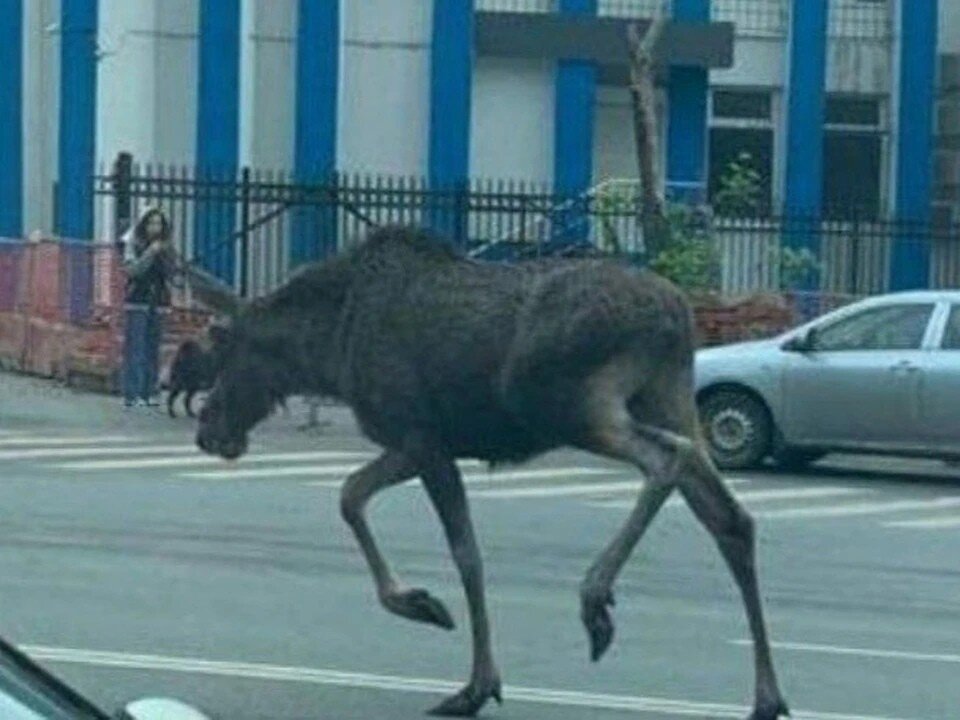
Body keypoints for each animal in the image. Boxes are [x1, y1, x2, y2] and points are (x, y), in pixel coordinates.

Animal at [193, 228, 788, 720]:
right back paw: (767, 696)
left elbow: (465, 555)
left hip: (572, 406)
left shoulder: (423, 439)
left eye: (227, 346)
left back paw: (595, 596)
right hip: (664, 396)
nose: (208, 429)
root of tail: (678, 315)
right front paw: (421, 604)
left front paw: (474, 681)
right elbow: (349, 495)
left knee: (667, 460)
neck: (329, 352)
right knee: (730, 517)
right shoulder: (413, 444)